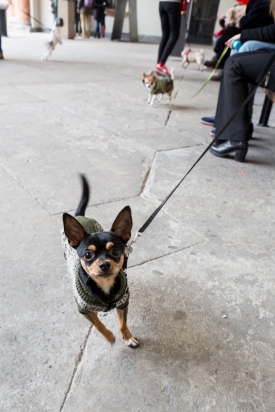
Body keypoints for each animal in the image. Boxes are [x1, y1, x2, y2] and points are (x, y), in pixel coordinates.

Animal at [61, 174, 139, 348]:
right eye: (88, 255)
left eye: (115, 252)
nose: (104, 264)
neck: (105, 285)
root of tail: (79, 216)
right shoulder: (84, 310)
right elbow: (97, 325)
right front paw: (109, 336)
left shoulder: (123, 302)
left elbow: (122, 322)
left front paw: (128, 336)